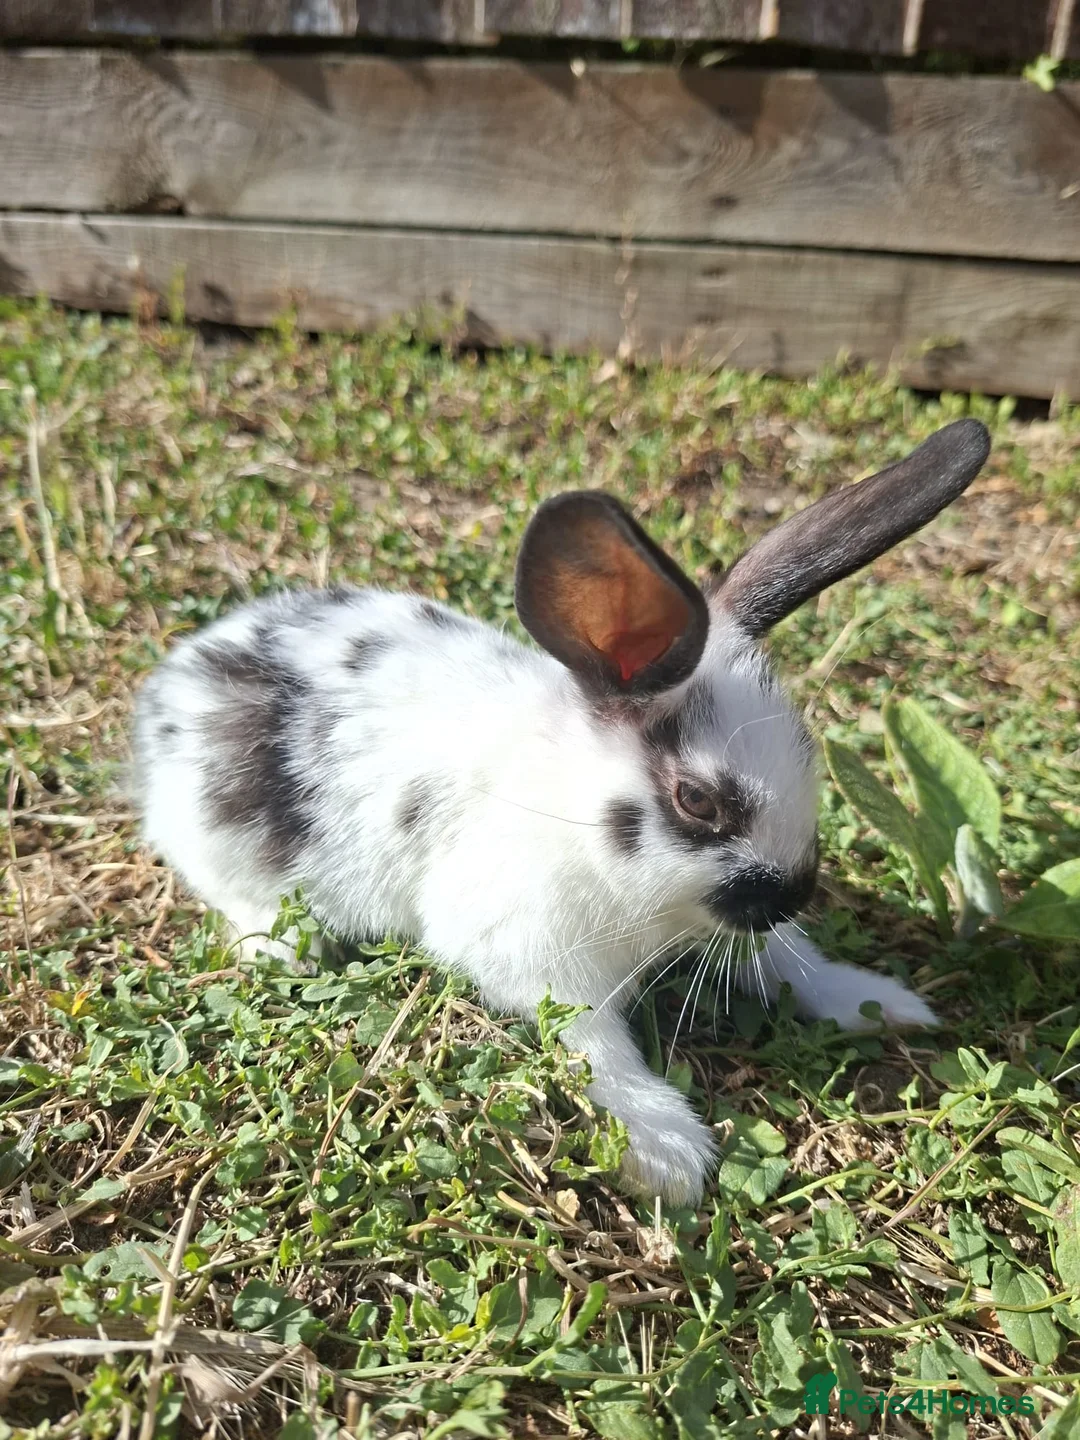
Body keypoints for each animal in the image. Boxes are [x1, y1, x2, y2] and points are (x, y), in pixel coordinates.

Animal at [133, 417, 990, 1206]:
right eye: (698, 801)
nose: (793, 894)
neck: (571, 816)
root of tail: (175, 680)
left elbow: (787, 962)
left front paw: (880, 1003)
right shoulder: (535, 960)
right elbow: (598, 1047)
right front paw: (668, 1152)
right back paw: (284, 949)